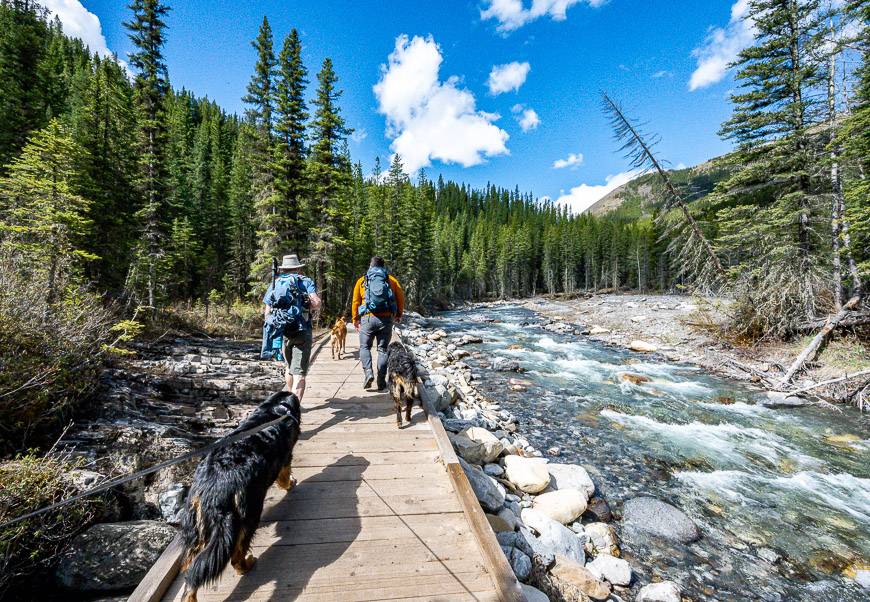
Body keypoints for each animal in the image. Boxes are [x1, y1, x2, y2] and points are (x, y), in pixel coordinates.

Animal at [179, 390, 302, 600]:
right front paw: (290, 483)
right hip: (248, 515)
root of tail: (213, 491)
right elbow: (285, 475)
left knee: (191, 569)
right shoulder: (286, 457)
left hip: (195, 528)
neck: (276, 408)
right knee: (235, 556)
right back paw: (247, 564)